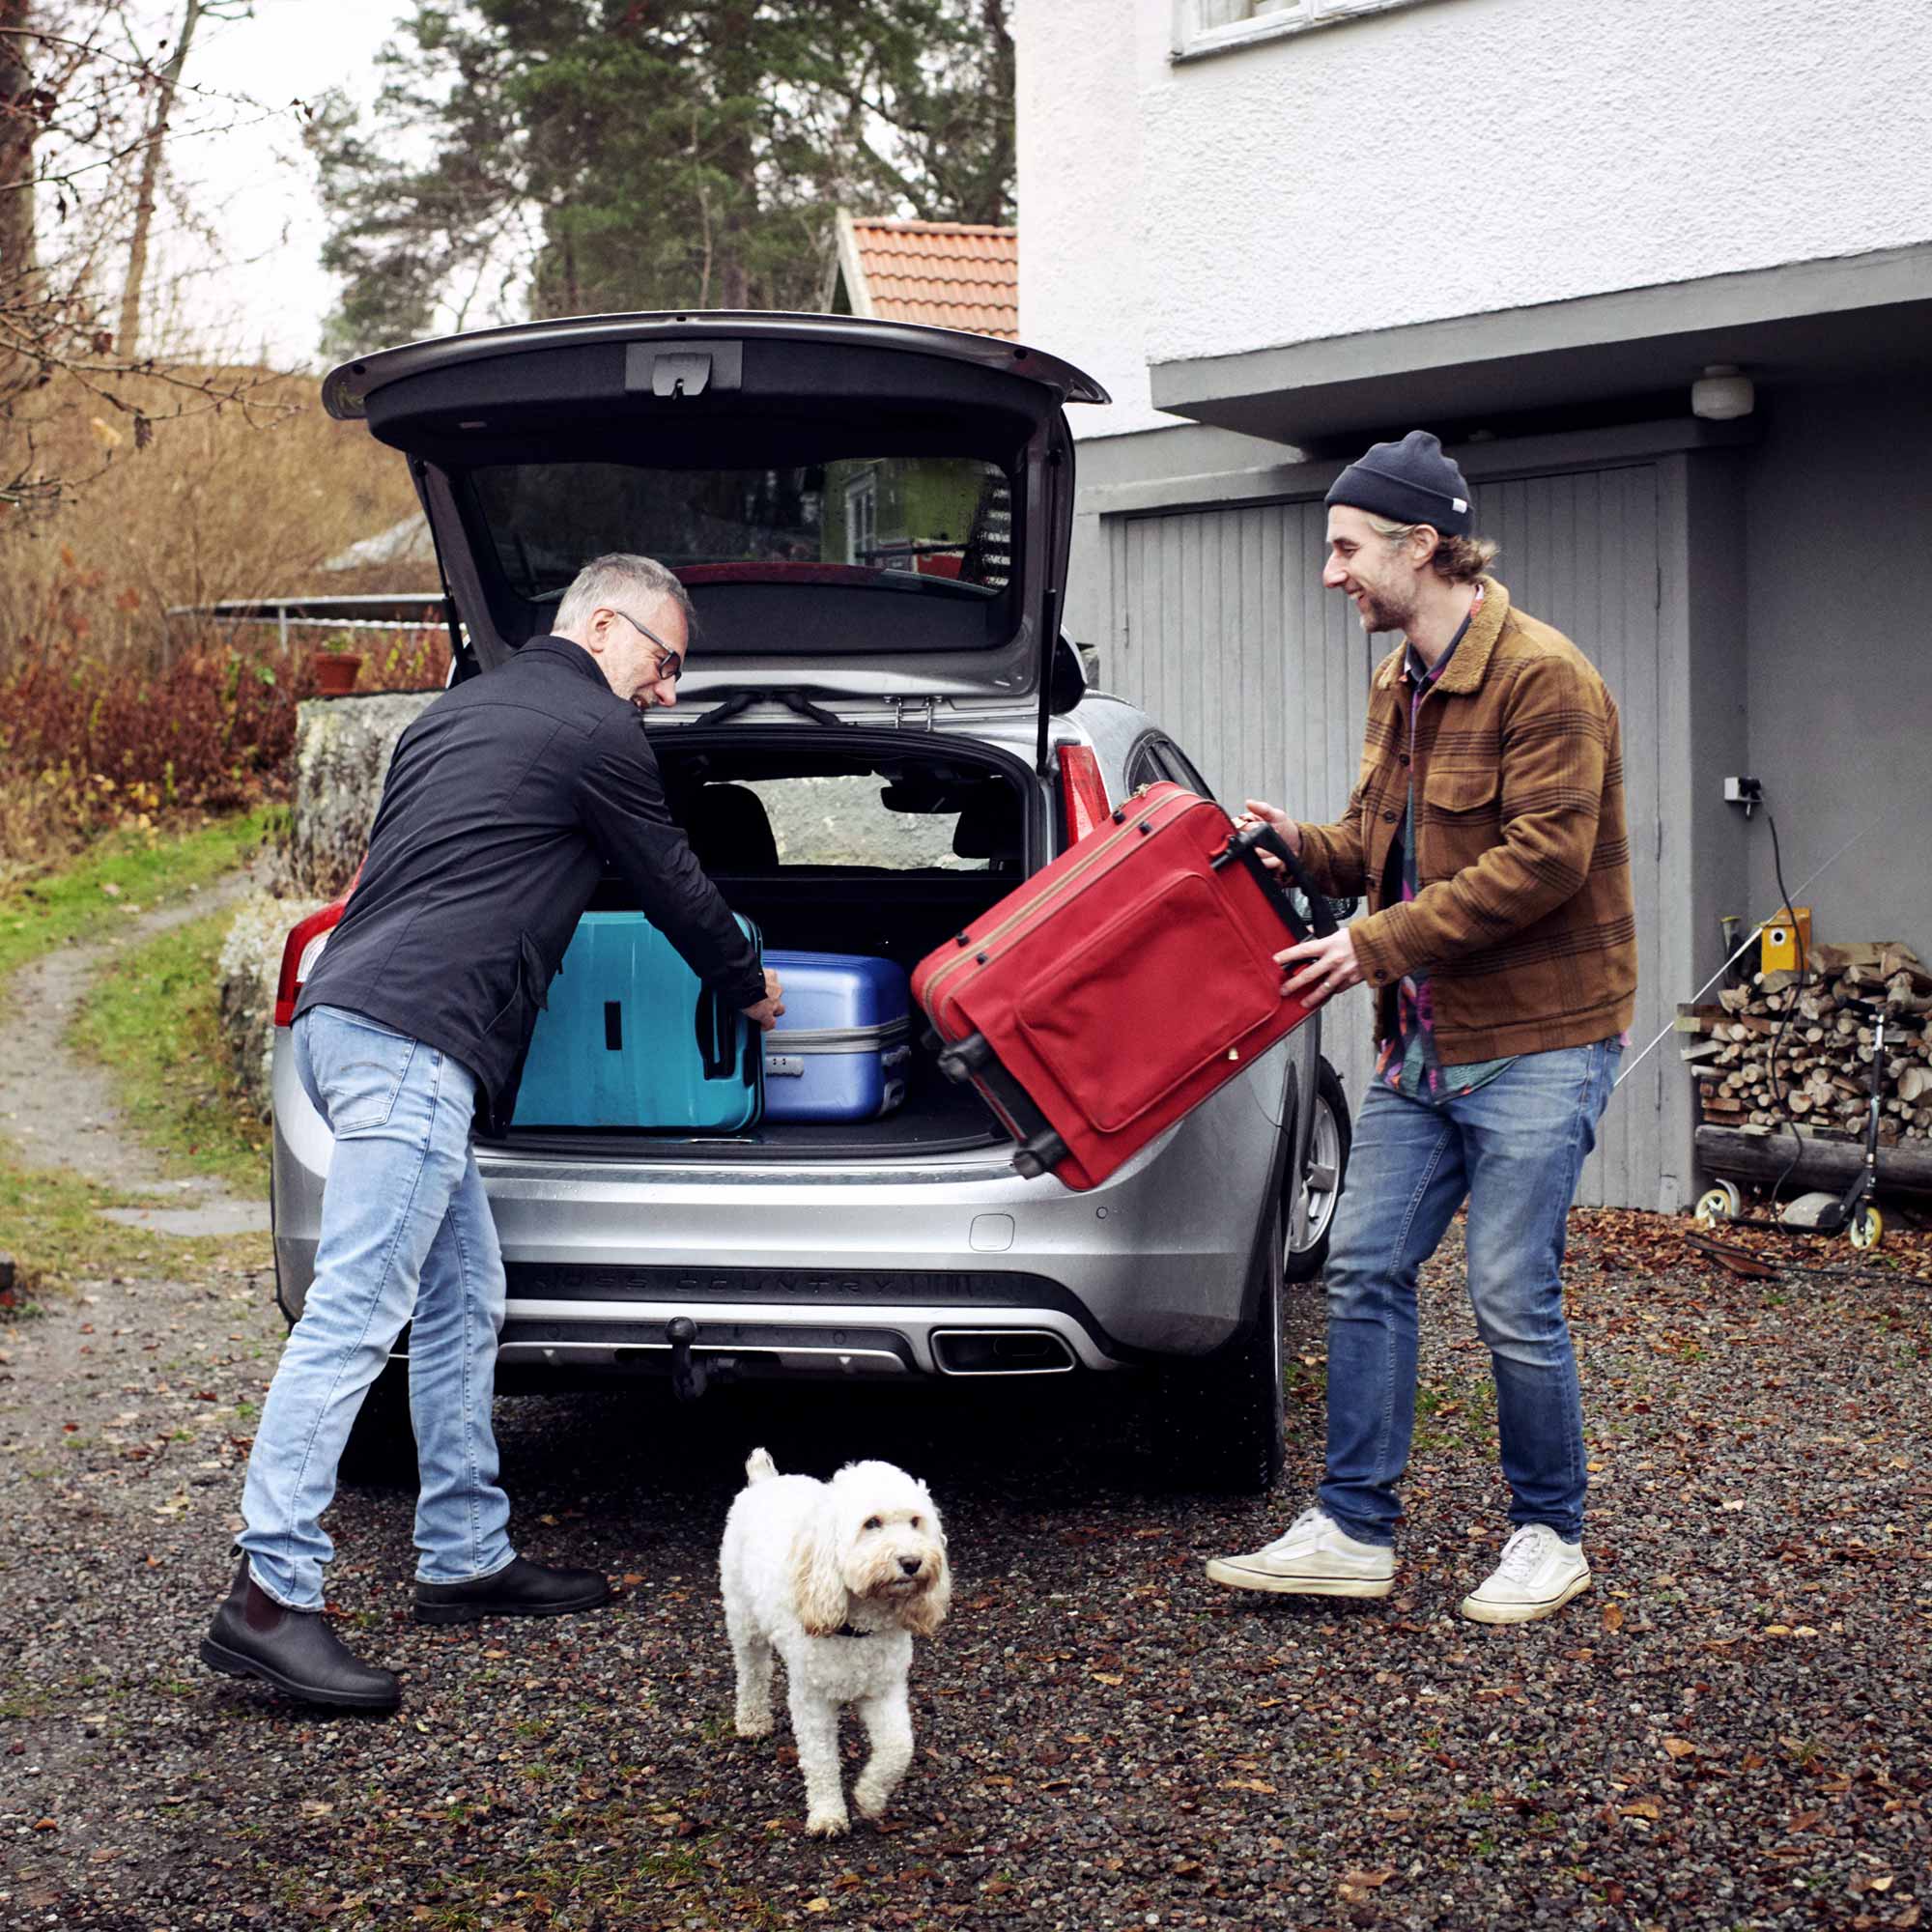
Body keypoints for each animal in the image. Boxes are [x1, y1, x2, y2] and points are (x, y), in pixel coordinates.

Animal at [719, 1453, 951, 1839]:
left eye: (916, 1522)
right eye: (871, 1523)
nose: (911, 1562)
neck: (859, 1626)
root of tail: (764, 1481)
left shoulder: (884, 1689)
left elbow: (898, 1747)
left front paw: (869, 1796)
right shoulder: (811, 1701)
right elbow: (821, 1761)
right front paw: (828, 1815)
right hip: (744, 1621)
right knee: (752, 1673)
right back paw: (753, 1721)